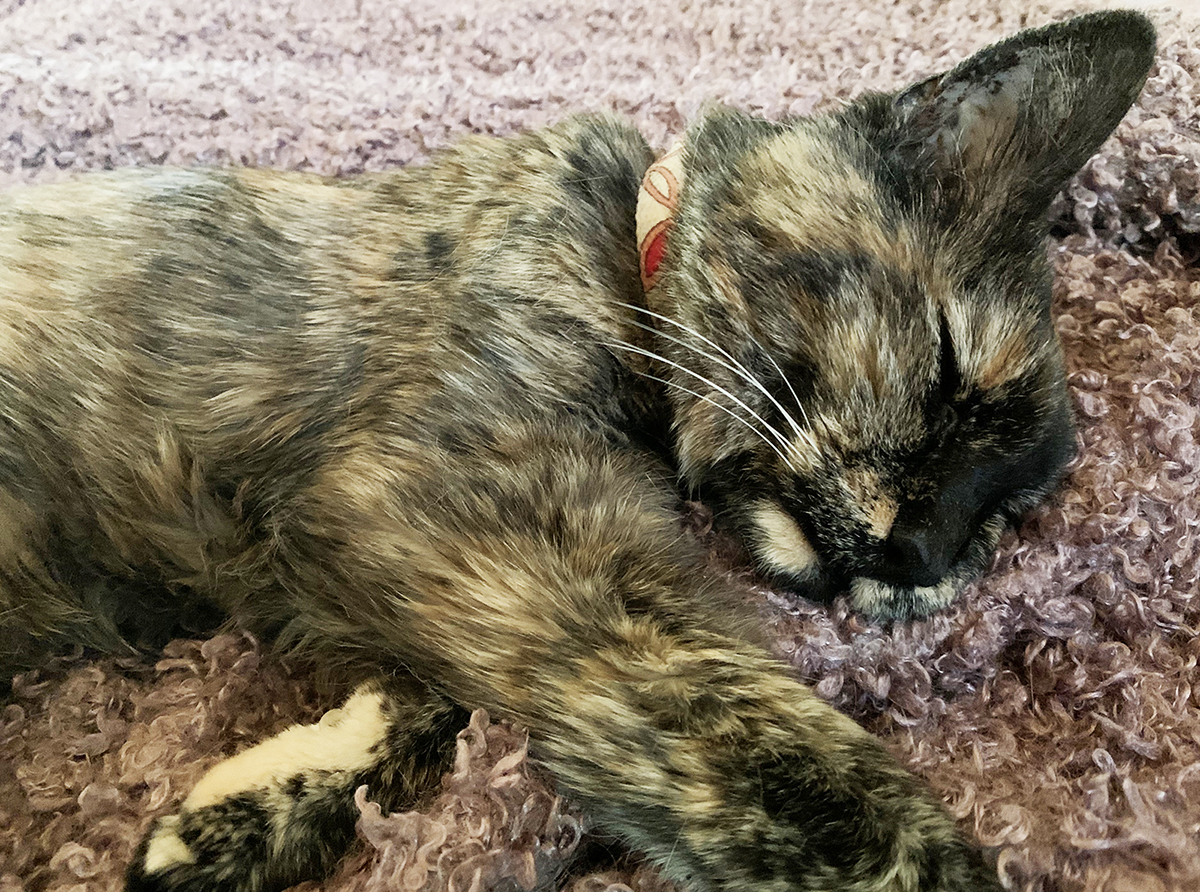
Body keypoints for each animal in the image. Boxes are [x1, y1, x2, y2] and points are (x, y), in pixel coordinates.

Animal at [0, 8, 1156, 892]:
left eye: (996, 520)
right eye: (952, 368)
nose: (921, 552)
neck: (625, 250)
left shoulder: (410, 551)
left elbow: (425, 709)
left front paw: (230, 825)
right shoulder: (475, 515)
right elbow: (740, 729)